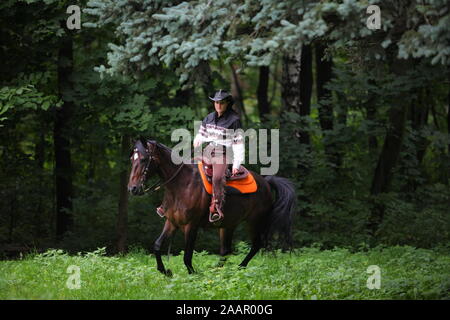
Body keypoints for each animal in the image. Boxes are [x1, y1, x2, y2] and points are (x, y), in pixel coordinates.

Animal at [127, 138, 296, 276]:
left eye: (143, 159)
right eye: (131, 159)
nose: (132, 189)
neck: (181, 185)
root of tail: (266, 182)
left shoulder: (191, 226)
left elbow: (187, 256)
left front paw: (193, 274)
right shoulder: (172, 222)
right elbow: (157, 245)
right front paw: (165, 271)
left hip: (254, 222)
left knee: (256, 245)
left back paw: (240, 268)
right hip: (228, 225)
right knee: (226, 250)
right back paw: (219, 272)